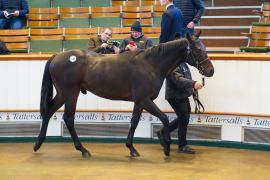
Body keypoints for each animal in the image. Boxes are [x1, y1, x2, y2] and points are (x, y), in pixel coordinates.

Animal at [33, 33, 214, 158]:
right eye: (197, 49)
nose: (211, 71)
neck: (150, 64)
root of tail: (57, 56)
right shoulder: (145, 99)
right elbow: (163, 118)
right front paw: (167, 147)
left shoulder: (140, 102)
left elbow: (134, 122)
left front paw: (132, 148)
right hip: (70, 94)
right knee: (68, 118)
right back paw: (82, 150)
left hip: (63, 94)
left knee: (49, 112)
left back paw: (38, 144)